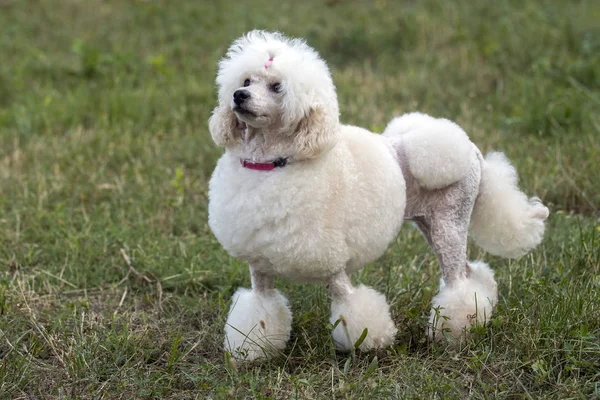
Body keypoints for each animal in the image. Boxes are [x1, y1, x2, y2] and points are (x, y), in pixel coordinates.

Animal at [207, 31, 548, 360]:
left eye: (277, 87)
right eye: (245, 81)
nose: (239, 96)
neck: (272, 162)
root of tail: (473, 151)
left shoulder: (333, 263)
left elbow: (351, 305)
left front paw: (371, 344)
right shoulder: (260, 266)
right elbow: (260, 307)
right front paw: (251, 350)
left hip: (448, 224)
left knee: (458, 283)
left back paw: (458, 333)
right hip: (431, 224)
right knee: (470, 272)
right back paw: (481, 314)